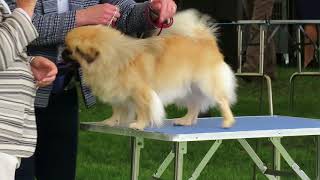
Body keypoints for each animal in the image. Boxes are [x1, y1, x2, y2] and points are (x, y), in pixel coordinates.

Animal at [63, 9, 238, 129]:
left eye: (69, 50)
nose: (61, 53)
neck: (114, 57)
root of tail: (205, 40)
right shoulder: (118, 93)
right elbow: (118, 109)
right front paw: (111, 122)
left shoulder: (140, 93)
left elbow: (143, 110)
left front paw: (139, 125)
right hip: (189, 88)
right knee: (194, 105)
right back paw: (186, 121)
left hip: (206, 84)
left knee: (222, 101)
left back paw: (227, 122)